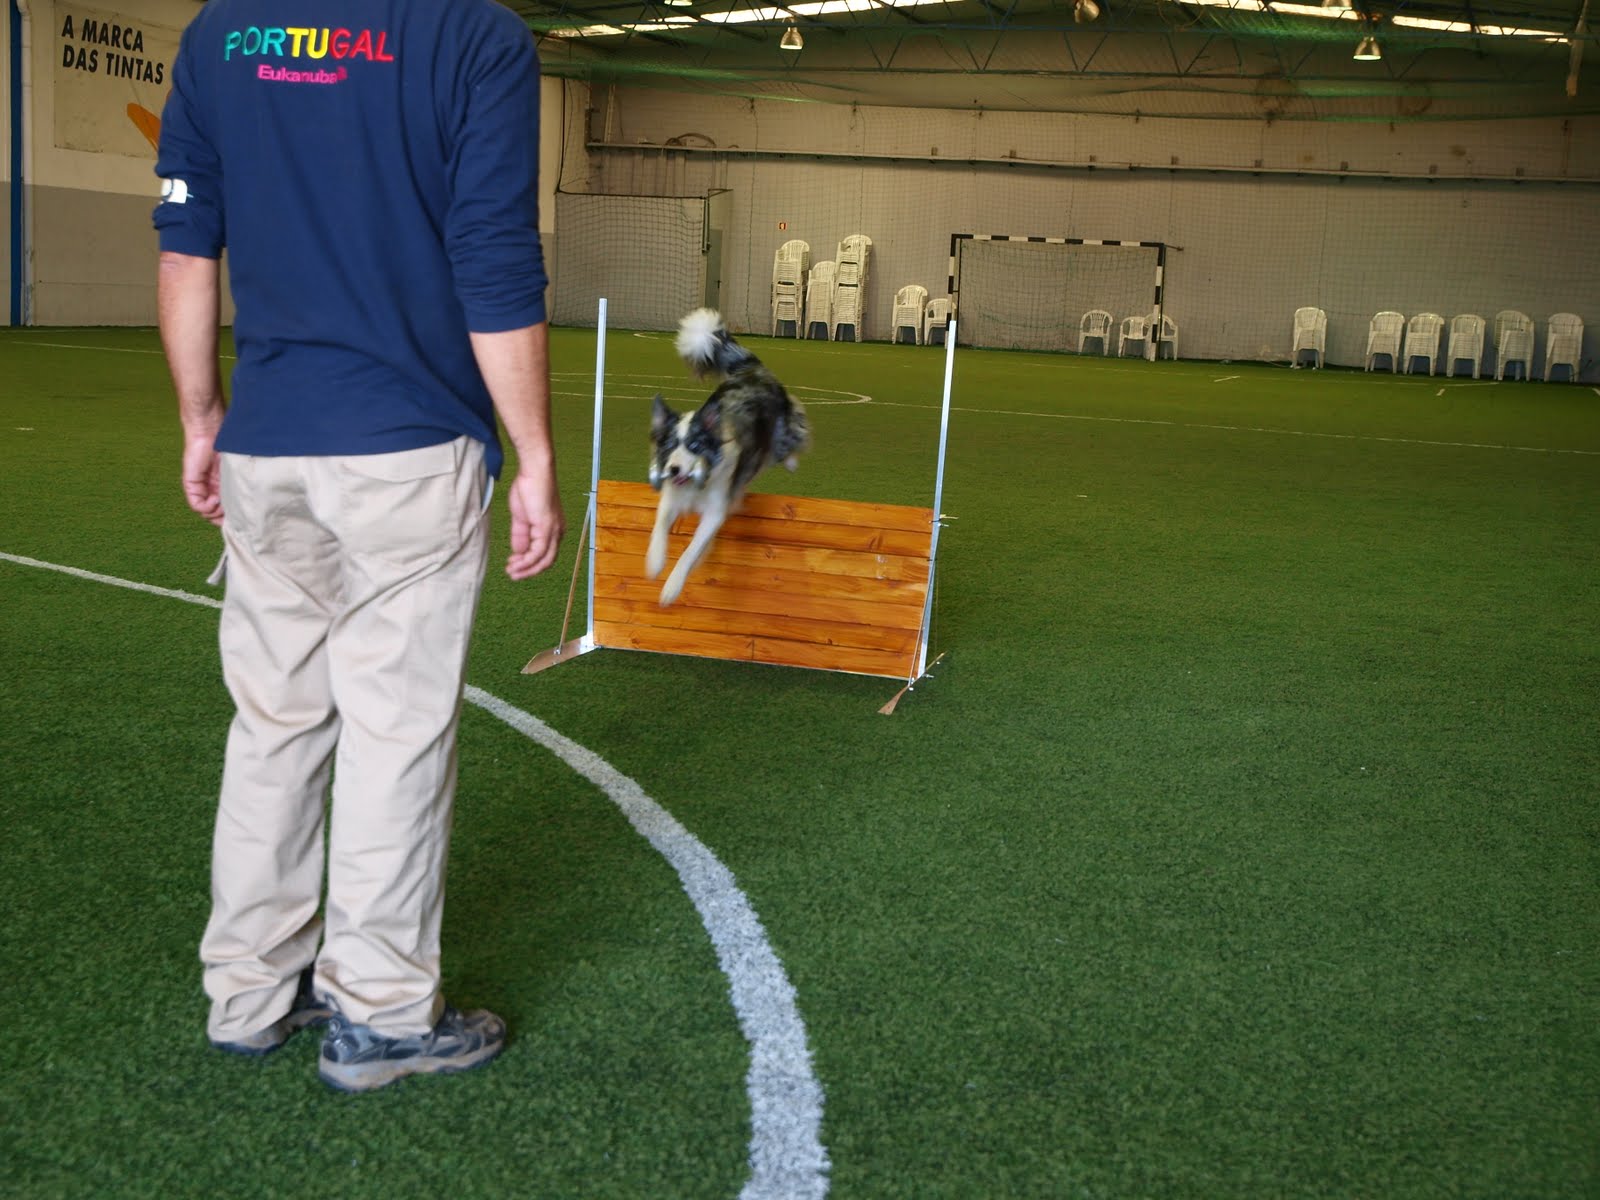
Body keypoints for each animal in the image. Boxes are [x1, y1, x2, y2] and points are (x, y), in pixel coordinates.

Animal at [647, 308, 810, 607]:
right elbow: (659, 527)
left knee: (792, 432)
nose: (673, 470)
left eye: (695, 445)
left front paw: (673, 586)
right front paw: (654, 562)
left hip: (781, 429)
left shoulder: (714, 512)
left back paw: (791, 460)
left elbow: (690, 550)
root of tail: (752, 368)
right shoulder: (671, 499)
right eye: (669, 445)